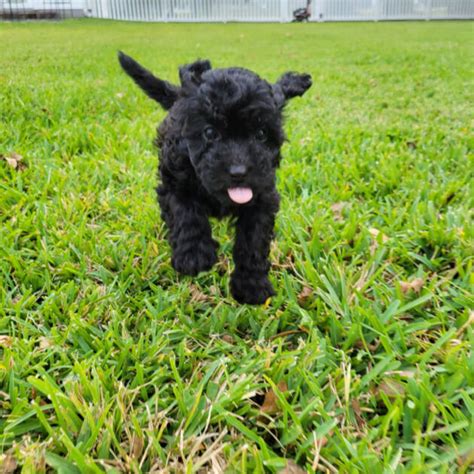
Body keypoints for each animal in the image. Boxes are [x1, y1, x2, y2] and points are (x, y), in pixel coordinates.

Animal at [118, 51, 312, 304]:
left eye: (261, 134)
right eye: (210, 132)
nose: (239, 171)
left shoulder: (263, 195)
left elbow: (254, 239)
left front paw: (251, 284)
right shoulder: (174, 179)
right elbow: (185, 212)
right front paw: (193, 255)